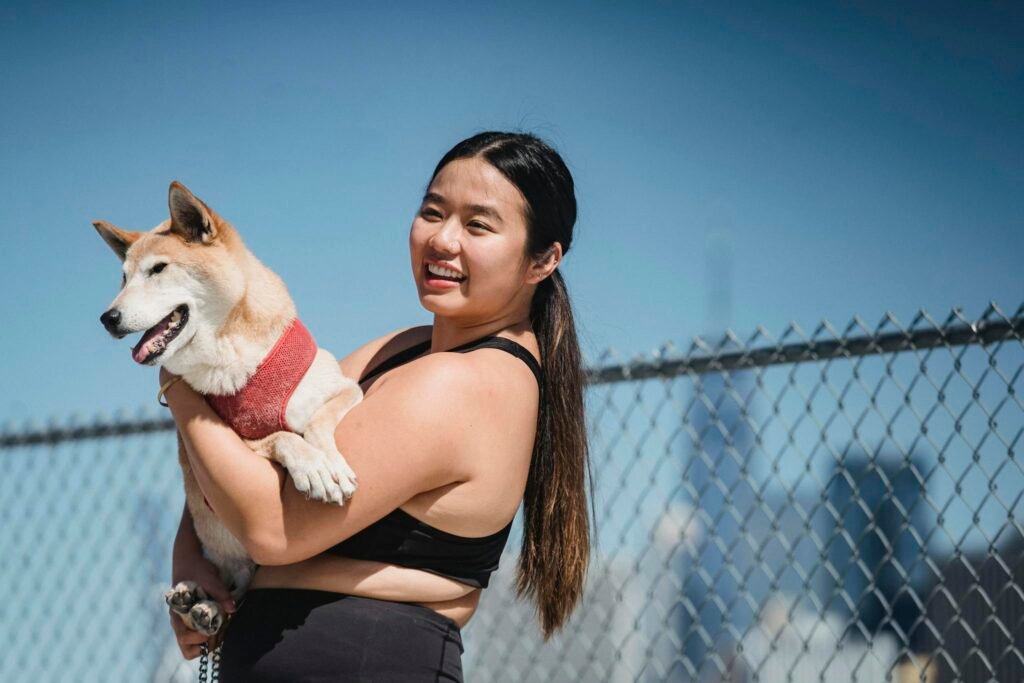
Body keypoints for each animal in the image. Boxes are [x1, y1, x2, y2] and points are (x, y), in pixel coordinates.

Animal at [93, 181, 364, 643]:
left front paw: (327, 462)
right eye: (123, 278)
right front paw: (313, 467)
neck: (232, 355)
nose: (108, 318)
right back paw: (199, 604)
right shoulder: (226, 449)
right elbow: (280, 436)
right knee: (232, 592)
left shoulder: (347, 389)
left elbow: (315, 421)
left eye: (158, 269)